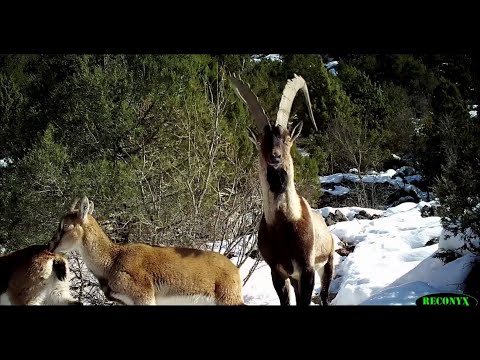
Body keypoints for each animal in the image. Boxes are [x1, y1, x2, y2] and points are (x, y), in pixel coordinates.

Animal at [48, 195, 246, 306]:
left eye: (65, 226)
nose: (50, 246)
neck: (112, 260)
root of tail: (234, 270)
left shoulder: (144, 297)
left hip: (228, 300)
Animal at [230, 73, 336, 306]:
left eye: (287, 138)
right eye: (261, 140)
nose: (275, 156)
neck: (283, 223)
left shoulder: (307, 269)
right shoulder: (278, 272)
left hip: (328, 263)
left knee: (325, 295)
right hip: (295, 278)